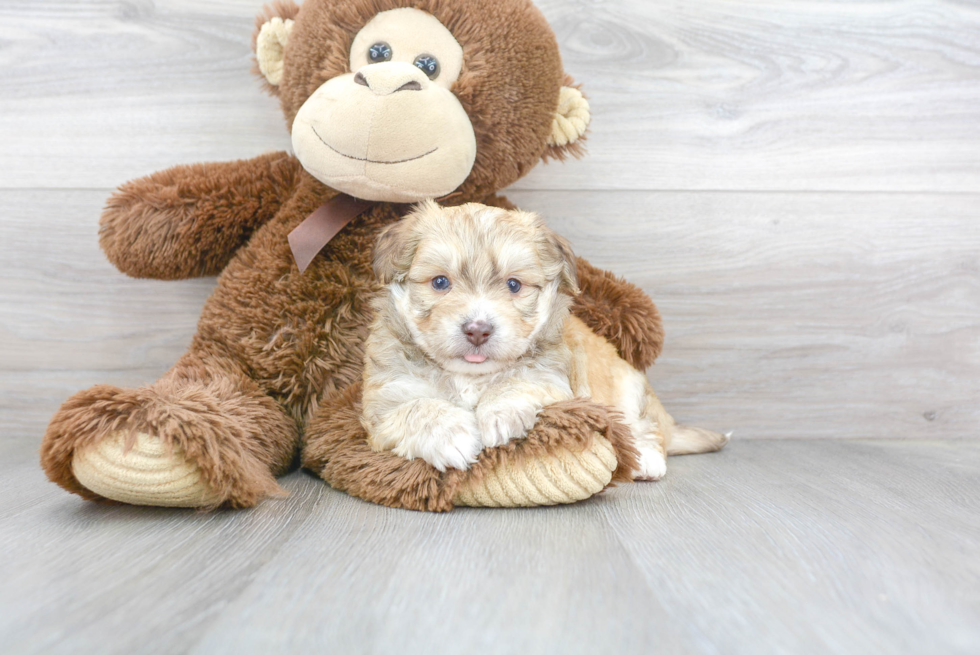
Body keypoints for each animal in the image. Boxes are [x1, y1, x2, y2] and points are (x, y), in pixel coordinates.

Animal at [364, 200, 724, 476]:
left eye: (513, 285)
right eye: (440, 282)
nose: (478, 329)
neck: (470, 377)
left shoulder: (552, 378)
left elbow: (519, 380)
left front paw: (500, 415)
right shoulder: (384, 400)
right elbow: (417, 407)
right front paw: (450, 436)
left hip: (630, 390)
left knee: (646, 428)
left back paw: (645, 461)